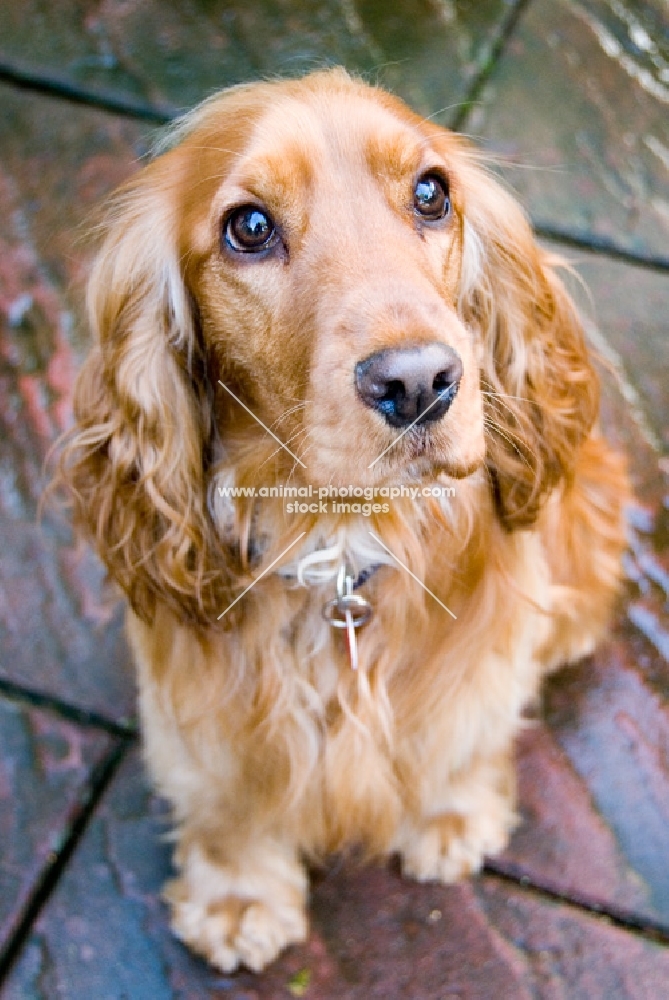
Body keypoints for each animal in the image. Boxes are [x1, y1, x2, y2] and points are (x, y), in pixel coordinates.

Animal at [56, 72, 628, 976]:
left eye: (431, 193)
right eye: (248, 227)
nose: (419, 382)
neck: (338, 535)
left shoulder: (479, 656)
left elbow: (463, 735)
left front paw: (451, 817)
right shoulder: (199, 701)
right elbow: (225, 794)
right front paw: (238, 894)